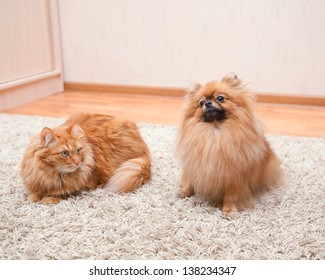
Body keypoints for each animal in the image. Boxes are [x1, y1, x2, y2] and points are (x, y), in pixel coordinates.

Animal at [20, 112, 151, 205]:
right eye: (64, 153)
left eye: (78, 150)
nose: (78, 162)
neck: (51, 174)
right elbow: (34, 193)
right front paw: (34, 196)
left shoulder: (84, 184)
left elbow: (64, 192)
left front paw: (49, 198)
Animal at [176, 74, 282, 217]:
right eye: (201, 103)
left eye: (220, 98)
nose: (208, 103)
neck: (215, 131)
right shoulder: (196, 164)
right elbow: (191, 180)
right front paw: (186, 191)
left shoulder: (233, 176)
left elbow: (231, 195)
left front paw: (229, 210)